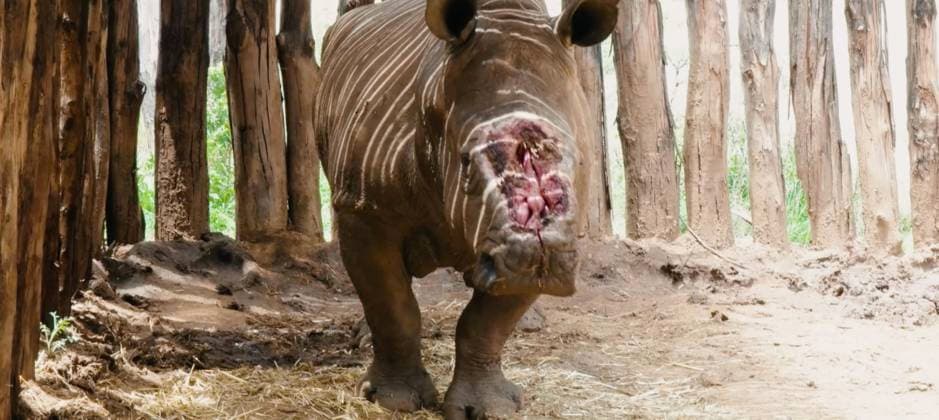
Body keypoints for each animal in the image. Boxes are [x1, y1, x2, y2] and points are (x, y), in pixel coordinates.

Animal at [315, 0, 617, 417]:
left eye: (578, 161)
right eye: (466, 162)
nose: (536, 257)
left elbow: (486, 324)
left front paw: (488, 407)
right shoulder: (364, 209)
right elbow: (392, 306)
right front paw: (393, 400)